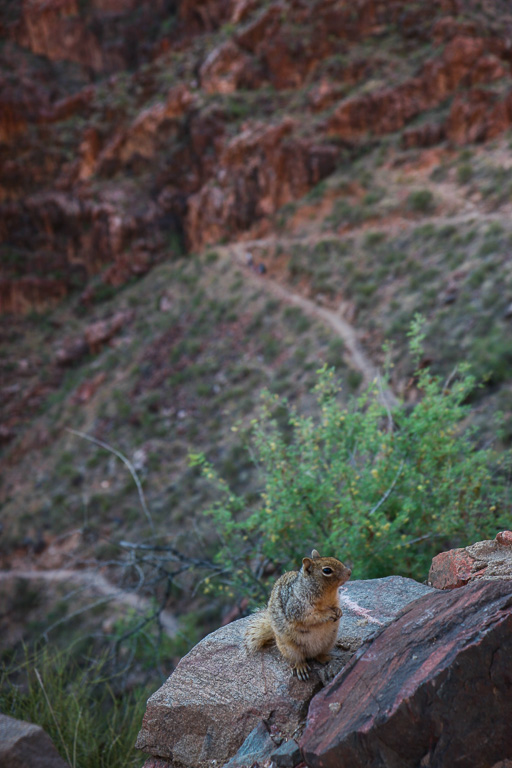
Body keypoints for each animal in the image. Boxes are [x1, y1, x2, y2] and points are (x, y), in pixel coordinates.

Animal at [245, 548, 352, 680]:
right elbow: (313, 616)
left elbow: (337, 606)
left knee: (318, 655)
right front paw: (328, 614)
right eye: (327, 570)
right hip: (290, 648)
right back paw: (301, 668)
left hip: (329, 641)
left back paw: (327, 658)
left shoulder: (335, 600)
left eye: (333, 557)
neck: (327, 594)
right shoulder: (297, 609)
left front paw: (338, 611)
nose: (349, 572)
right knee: (298, 659)